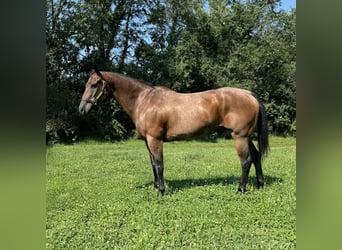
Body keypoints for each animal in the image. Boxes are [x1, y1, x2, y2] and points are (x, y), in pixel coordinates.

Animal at [79, 68, 268, 195]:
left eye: (94, 85)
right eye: (87, 84)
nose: (81, 109)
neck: (144, 101)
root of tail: (249, 94)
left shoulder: (155, 139)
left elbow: (159, 164)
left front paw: (161, 191)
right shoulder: (148, 141)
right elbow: (153, 164)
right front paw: (156, 186)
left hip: (239, 137)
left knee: (246, 161)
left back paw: (240, 189)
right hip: (246, 136)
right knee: (256, 156)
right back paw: (260, 184)